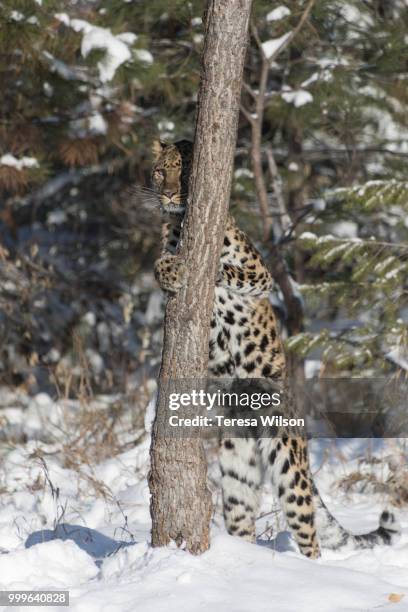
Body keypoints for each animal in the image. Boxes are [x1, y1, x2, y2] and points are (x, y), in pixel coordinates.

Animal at [150, 140, 398, 560]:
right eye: (159, 171)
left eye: (184, 172)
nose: (168, 194)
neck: (182, 224)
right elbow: (157, 263)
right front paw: (169, 268)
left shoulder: (261, 275)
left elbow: (228, 270)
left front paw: (200, 266)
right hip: (236, 471)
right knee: (242, 517)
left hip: (289, 462)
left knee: (309, 532)